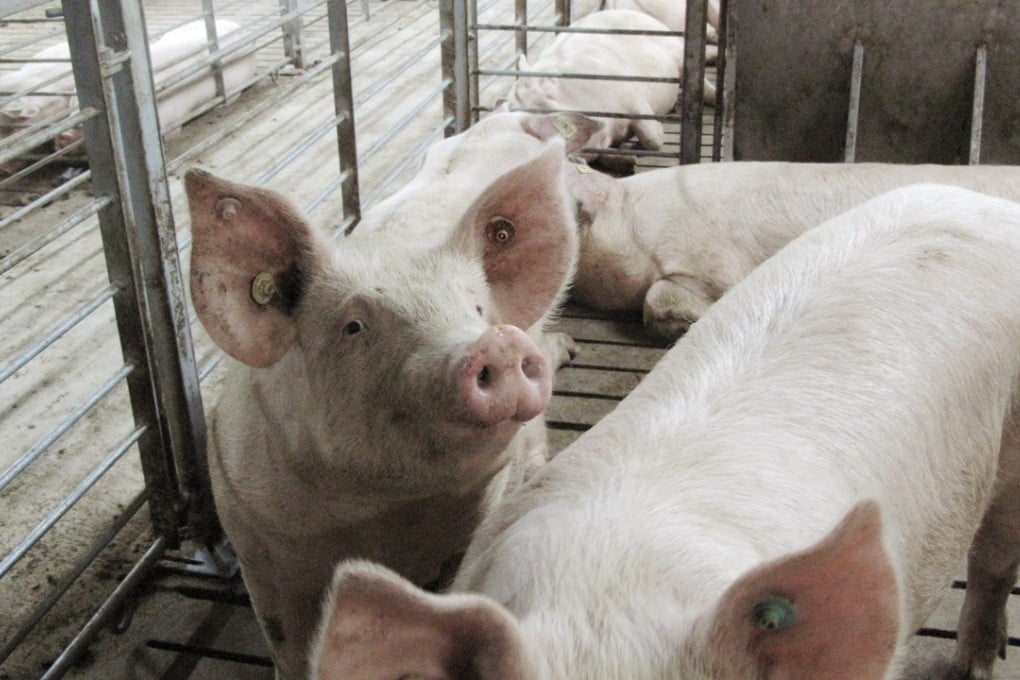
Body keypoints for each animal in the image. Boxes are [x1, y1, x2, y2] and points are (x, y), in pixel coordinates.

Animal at [184, 143, 578, 680]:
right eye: (354, 326)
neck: (386, 516)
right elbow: (287, 642)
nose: (496, 341)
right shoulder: (254, 536)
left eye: (476, 309)